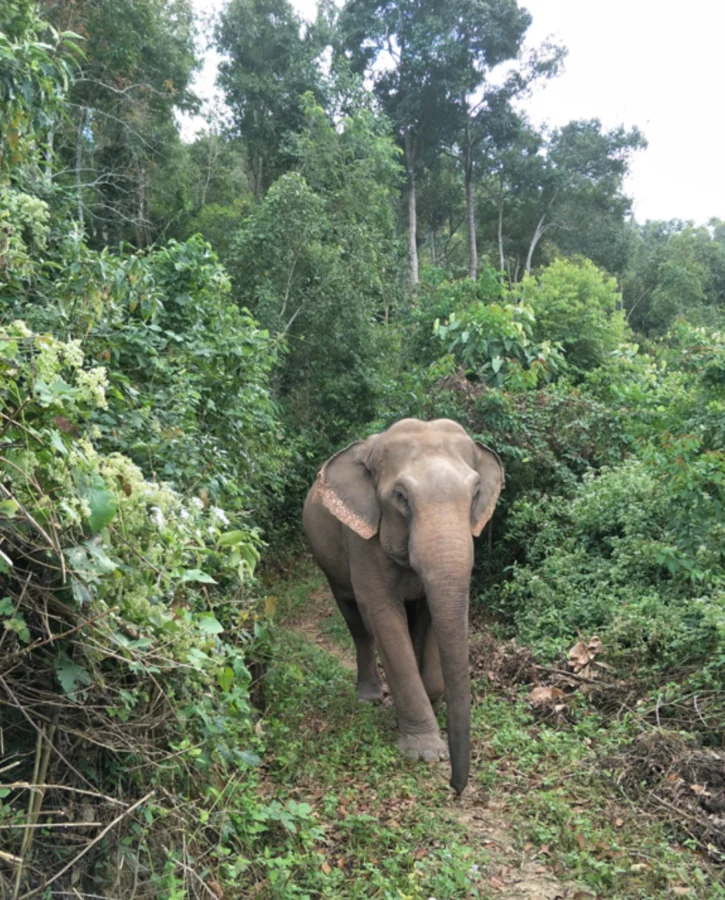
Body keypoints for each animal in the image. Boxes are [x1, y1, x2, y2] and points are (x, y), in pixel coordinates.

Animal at [302, 417, 504, 795]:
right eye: (400, 497)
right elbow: (382, 615)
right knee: (355, 620)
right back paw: (369, 697)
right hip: (328, 562)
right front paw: (425, 752)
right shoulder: (362, 538)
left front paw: (434, 702)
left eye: (475, 494)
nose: (456, 788)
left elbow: (430, 615)